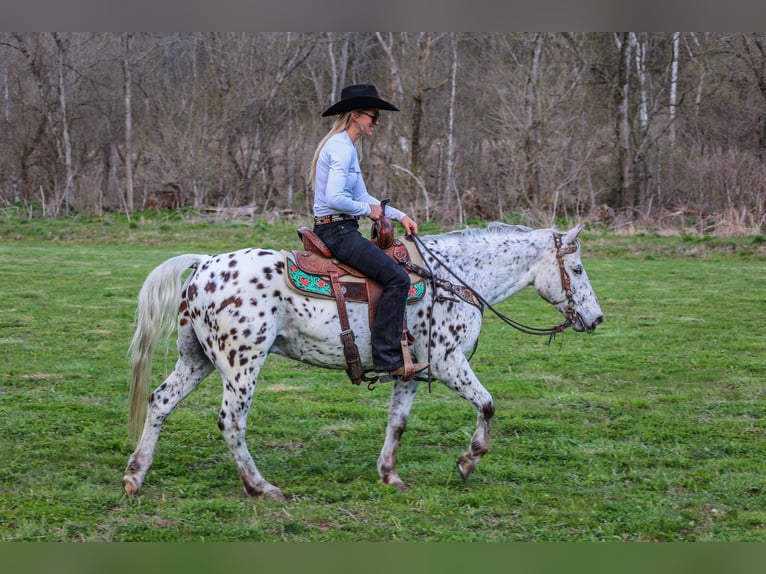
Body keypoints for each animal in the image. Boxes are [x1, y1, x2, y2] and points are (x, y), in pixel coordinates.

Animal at [123, 223, 608, 502]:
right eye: (578, 269)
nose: (597, 318)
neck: (452, 279)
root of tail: (205, 263)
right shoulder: (449, 364)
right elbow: (487, 405)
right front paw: (468, 461)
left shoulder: (412, 373)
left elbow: (398, 423)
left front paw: (389, 475)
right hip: (242, 366)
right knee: (231, 421)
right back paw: (260, 487)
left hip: (197, 360)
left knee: (160, 401)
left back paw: (135, 475)